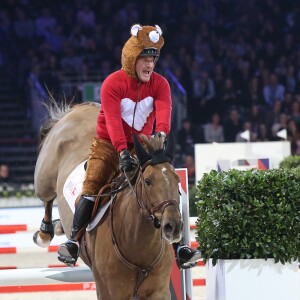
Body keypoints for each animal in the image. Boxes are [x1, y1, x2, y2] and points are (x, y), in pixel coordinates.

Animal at [32, 101, 183, 300]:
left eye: (177, 179)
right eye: (148, 181)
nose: (173, 226)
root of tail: (79, 108)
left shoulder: (158, 291)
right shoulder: (109, 292)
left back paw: (59, 227)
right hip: (44, 179)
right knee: (48, 199)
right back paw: (46, 233)